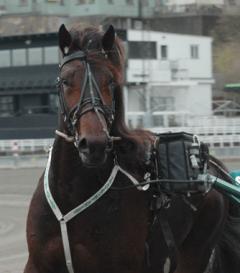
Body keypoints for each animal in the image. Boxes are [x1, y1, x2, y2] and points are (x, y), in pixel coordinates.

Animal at [23, 23, 240, 272]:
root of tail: (212, 169)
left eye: (110, 81)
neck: (71, 195)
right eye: (66, 80)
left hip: (195, 252)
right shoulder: (37, 263)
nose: (94, 144)